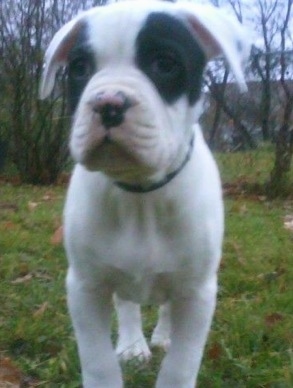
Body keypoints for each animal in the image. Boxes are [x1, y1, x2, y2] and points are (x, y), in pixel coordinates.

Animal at [39, 1, 249, 386]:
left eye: (165, 64)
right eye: (79, 68)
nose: (108, 102)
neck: (140, 195)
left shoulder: (197, 293)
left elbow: (181, 364)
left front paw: (172, 354)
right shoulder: (85, 287)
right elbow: (98, 361)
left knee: (167, 309)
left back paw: (163, 336)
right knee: (127, 304)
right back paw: (132, 344)